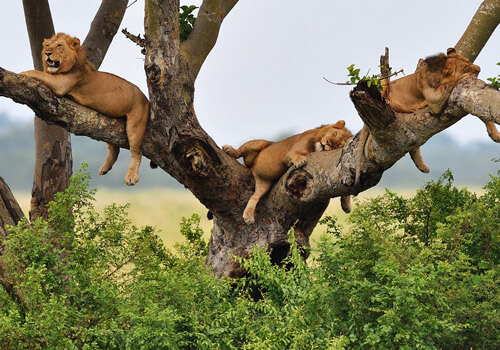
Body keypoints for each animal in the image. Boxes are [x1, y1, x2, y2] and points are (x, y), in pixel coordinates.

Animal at [223, 120, 352, 224]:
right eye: (335, 134)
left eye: (338, 145)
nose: (328, 143)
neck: (315, 147)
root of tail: (252, 168)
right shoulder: (290, 153)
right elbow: (295, 154)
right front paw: (300, 160)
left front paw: (346, 205)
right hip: (260, 144)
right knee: (241, 151)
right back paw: (230, 150)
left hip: (264, 184)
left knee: (254, 197)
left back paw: (248, 216)